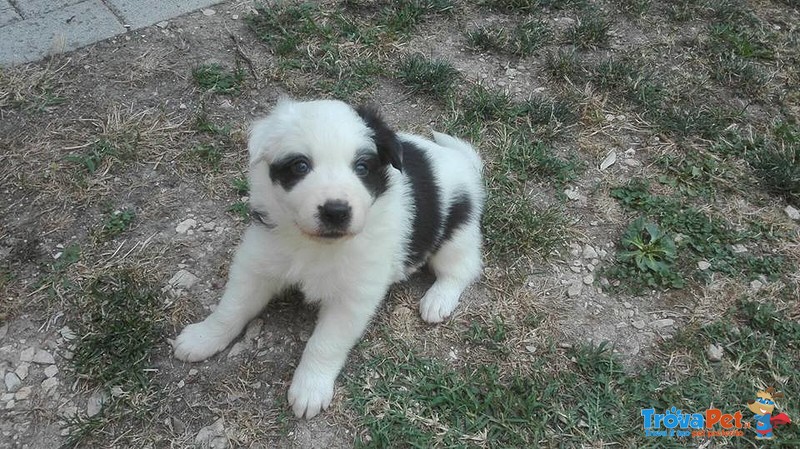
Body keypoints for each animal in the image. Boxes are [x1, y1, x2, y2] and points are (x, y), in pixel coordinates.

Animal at [173, 98, 484, 416]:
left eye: (362, 167)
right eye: (300, 166)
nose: (336, 211)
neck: (315, 244)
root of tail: (463, 163)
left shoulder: (353, 295)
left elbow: (325, 343)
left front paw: (310, 388)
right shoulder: (258, 260)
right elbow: (231, 307)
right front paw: (203, 337)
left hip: (456, 234)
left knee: (463, 267)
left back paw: (438, 299)